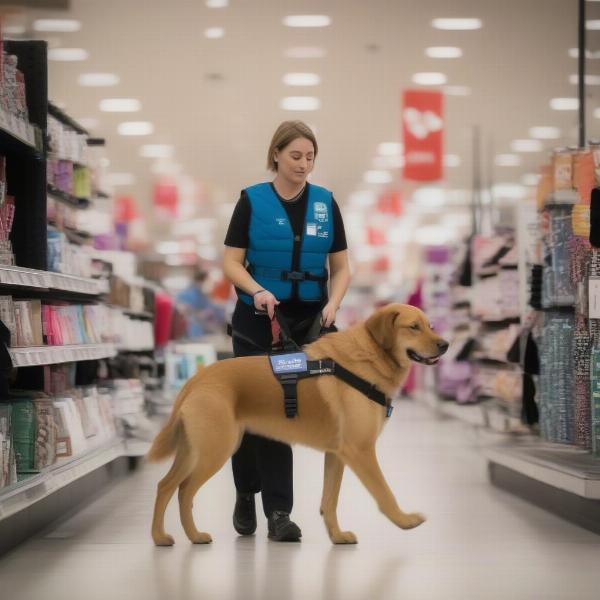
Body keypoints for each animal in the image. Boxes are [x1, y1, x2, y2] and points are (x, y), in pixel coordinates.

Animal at [146, 302, 446, 548]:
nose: (445, 345)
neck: (368, 356)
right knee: (184, 490)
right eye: (414, 327)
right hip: (215, 450)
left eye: (430, 325)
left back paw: (161, 536)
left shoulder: (338, 455)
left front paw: (337, 536)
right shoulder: (361, 451)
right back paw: (193, 535)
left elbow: (330, 500)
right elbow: (384, 492)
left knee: (165, 485)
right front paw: (404, 520)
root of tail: (198, 379)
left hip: (193, 450)